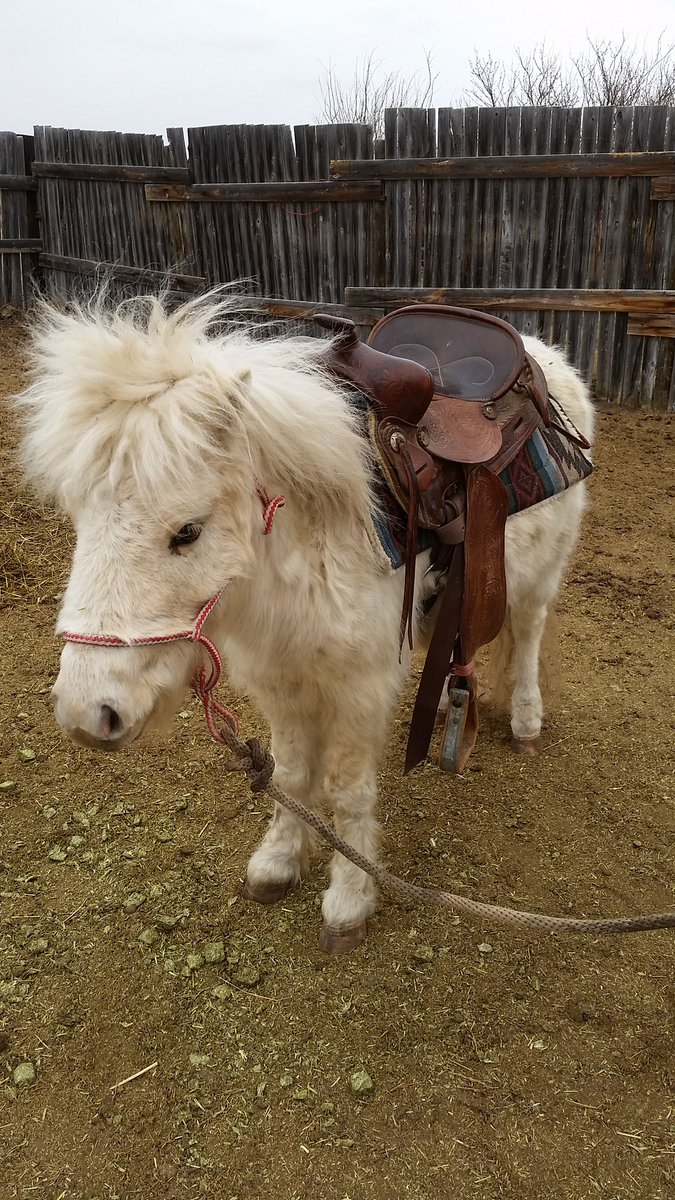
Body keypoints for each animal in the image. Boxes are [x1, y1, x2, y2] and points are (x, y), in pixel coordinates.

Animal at [17, 291, 594, 953]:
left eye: (186, 531)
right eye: (79, 518)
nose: (88, 714)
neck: (307, 544)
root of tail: (544, 354)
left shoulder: (358, 688)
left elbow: (347, 791)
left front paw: (348, 900)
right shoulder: (281, 679)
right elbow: (290, 775)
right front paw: (277, 863)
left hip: (539, 579)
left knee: (528, 636)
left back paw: (525, 719)